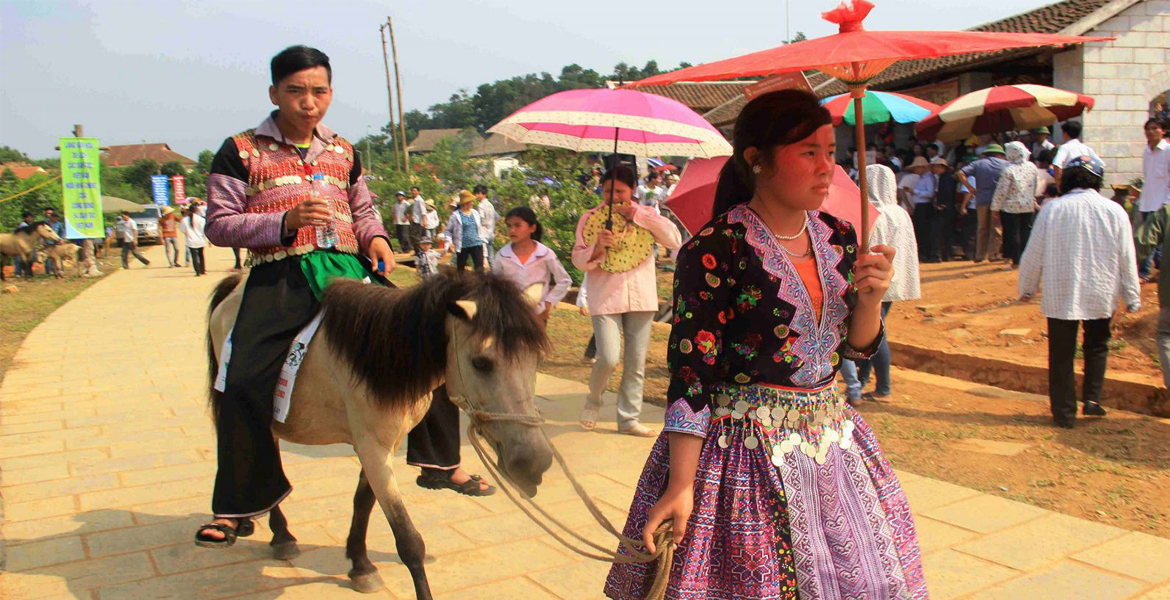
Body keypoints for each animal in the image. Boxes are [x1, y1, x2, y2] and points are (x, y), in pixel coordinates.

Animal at [208, 270, 554, 594]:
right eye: (482, 362)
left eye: (537, 358)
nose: (535, 463)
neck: (375, 360)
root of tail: (237, 285)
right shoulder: (373, 448)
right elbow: (409, 541)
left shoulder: (378, 445)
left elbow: (363, 503)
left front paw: (360, 565)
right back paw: (263, 530)